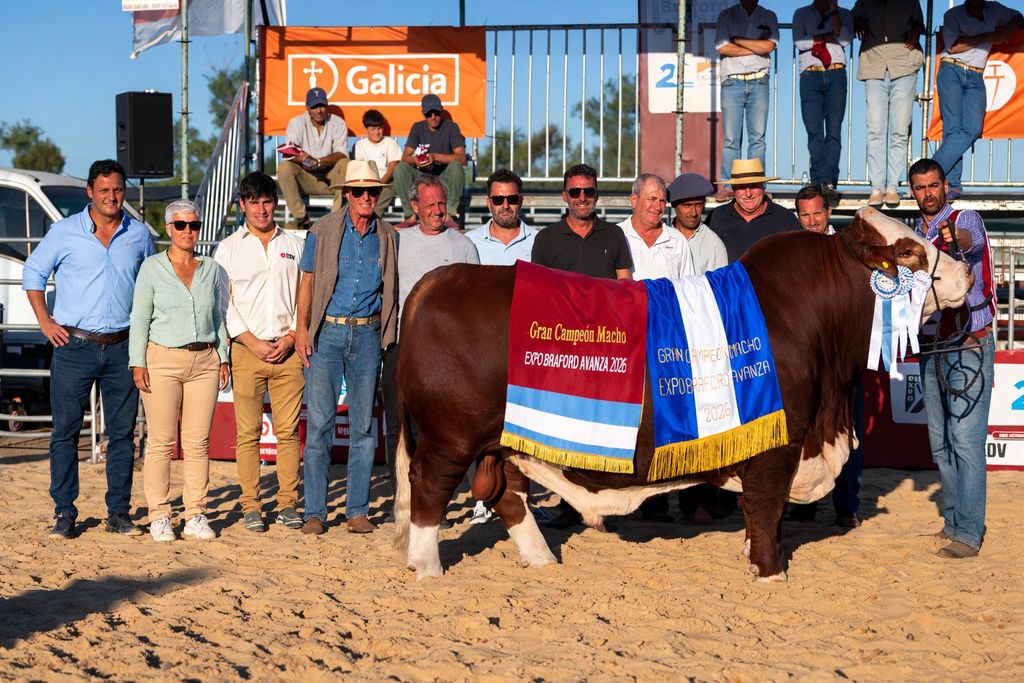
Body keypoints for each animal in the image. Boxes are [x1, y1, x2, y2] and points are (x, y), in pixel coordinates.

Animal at [392, 207, 972, 581]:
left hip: (505, 439)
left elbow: (759, 512)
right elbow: (766, 509)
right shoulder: (778, 445)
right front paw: (769, 572)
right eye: (908, 250)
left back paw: (541, 560)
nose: (966, 269)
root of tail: (439, 280)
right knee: (429, 489)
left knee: (506, 492)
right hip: (450, 438)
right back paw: (427, 567)